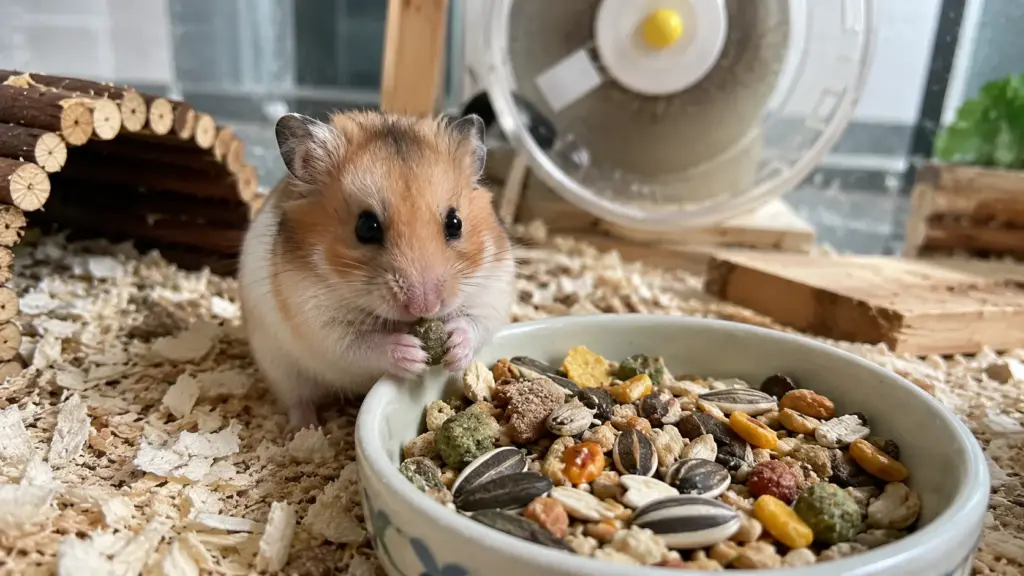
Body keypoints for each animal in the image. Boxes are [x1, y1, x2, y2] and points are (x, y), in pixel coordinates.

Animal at [239, 110, 516, 430]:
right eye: (366, 227)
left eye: (455, 223)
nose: (426, 305)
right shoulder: (319, 321)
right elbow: (362, 344)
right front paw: (412, 353)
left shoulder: (493, 287)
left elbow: (475, 323)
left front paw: (454, 344)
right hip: (279, 367)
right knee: (297, 400)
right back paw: (306, 429)